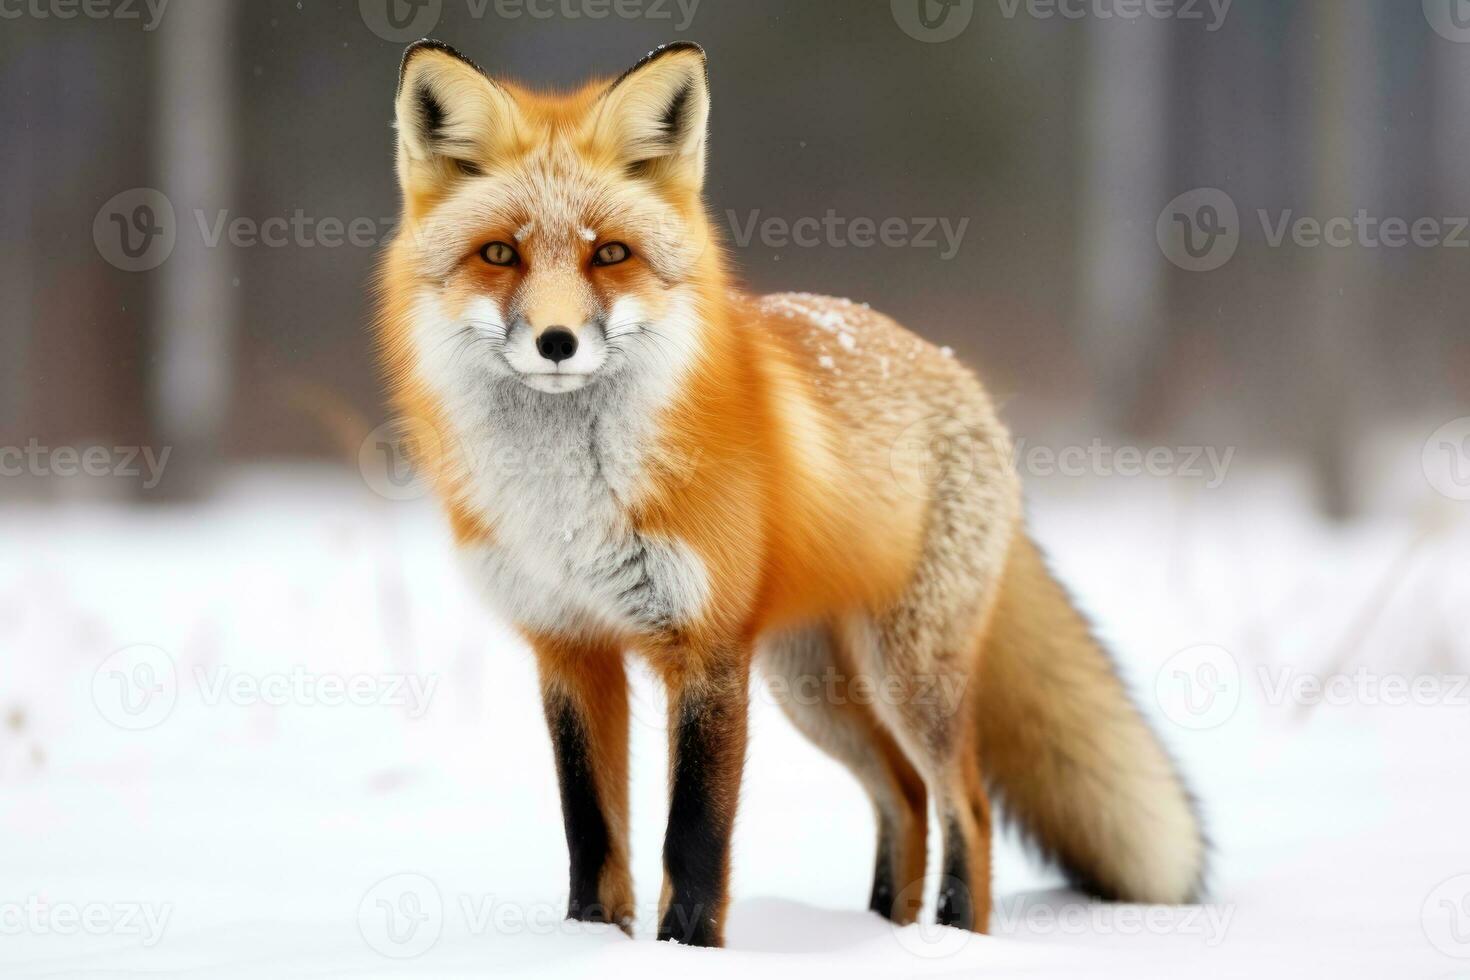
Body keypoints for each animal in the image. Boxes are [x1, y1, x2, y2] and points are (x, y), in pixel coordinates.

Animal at [376, 40, 1205, 952]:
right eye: (499, 255)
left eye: (610, 255)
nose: (556, 342)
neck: (567, 504)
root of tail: (953, 367)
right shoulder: (568, 645)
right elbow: (592, 836)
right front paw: (589, 942)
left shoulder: (707, 652)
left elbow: (693, 840)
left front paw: (686, 951)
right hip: (815, 690)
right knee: (906, 800)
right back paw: (879, 931)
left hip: (904, 676)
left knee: (967, 806)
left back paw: (951, 938)